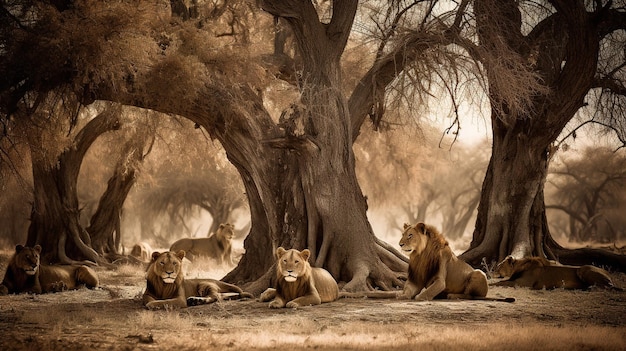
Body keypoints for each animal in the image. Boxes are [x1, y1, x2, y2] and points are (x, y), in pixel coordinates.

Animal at [492, 256, 620, 292]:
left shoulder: (523, 283)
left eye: (499, 266)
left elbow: (502, 282)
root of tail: (609, 273)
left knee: (608, 286)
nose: (492, 271)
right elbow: (502, 281)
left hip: (583, 269)